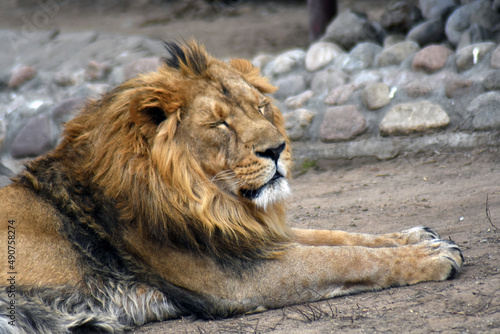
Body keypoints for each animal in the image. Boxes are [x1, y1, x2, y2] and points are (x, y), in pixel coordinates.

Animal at [0, 41, 464, 334]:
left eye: (260, 107)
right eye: (220, 123)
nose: (277, 149)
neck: (210, 201)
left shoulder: (248, 236)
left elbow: (341, 237)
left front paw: (416, 236)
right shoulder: (235, 278)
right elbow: (339, 258)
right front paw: (430, 257)